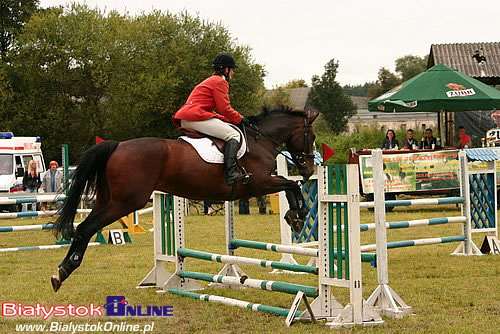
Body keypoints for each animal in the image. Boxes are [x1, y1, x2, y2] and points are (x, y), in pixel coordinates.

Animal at [49, 107, 316, 292]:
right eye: (311, 137)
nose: (309, 169)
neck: (259, 140)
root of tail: (116, 146)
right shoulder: (258, 183)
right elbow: (291, 184)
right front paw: (297, 216)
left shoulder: (260, 184)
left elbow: (290, 184)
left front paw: (295, 217)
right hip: (126, 202)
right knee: (87, 227)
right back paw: (65, 270)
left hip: (107, 200)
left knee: (85, 227)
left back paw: (61, 271)